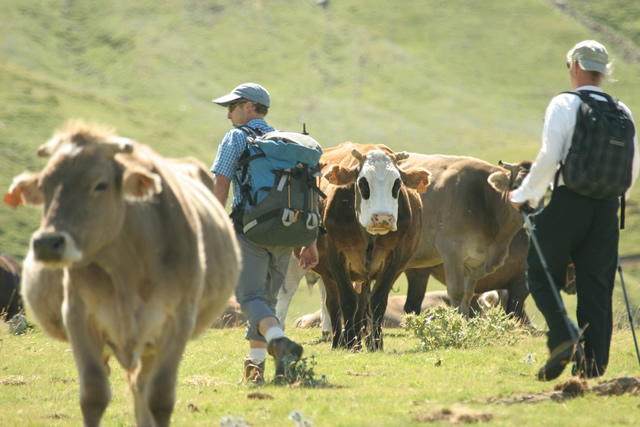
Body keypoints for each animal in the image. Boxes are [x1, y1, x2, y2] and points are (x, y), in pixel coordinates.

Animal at [4, 121, 240, 427]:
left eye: (100, 184)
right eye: (44, 186)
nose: (46, 243)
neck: (127, 267)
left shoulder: (178, 321)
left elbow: (160, 397)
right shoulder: (78, 316)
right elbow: (93, 394)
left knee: (142, 386)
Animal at [314, 144, 432, 352]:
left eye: (397, 183)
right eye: (363, 182)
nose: (383, 218)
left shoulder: (392, 258)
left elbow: (377, 302)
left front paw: (376, 344)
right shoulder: (337, 256)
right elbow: (348, 301)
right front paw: (349, 342)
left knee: (363, 304)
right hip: (328, 272)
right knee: (333, 302)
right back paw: (339, 342)